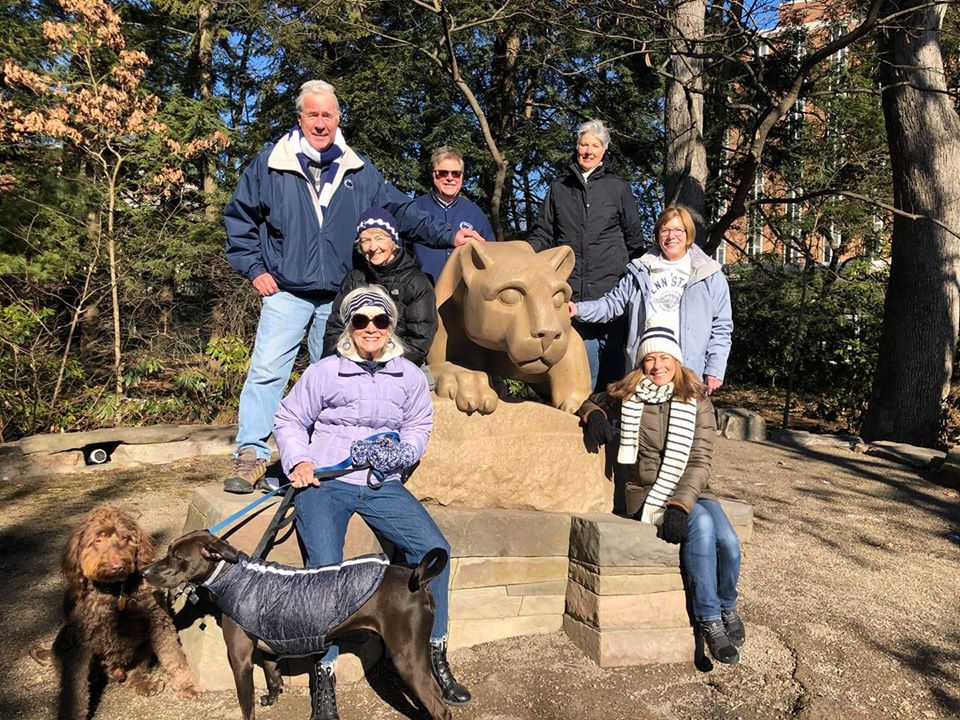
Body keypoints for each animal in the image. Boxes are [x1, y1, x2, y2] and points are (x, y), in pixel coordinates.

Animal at [51, 506, 200, 720]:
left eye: (125, 537)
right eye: (98, 540)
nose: (117, 565)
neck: (116, 592)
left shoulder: (159, 623)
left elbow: (174, 656)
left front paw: (185, 685)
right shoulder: (80, 645)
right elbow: (75, 689)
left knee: (134, 671)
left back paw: (143, 682)